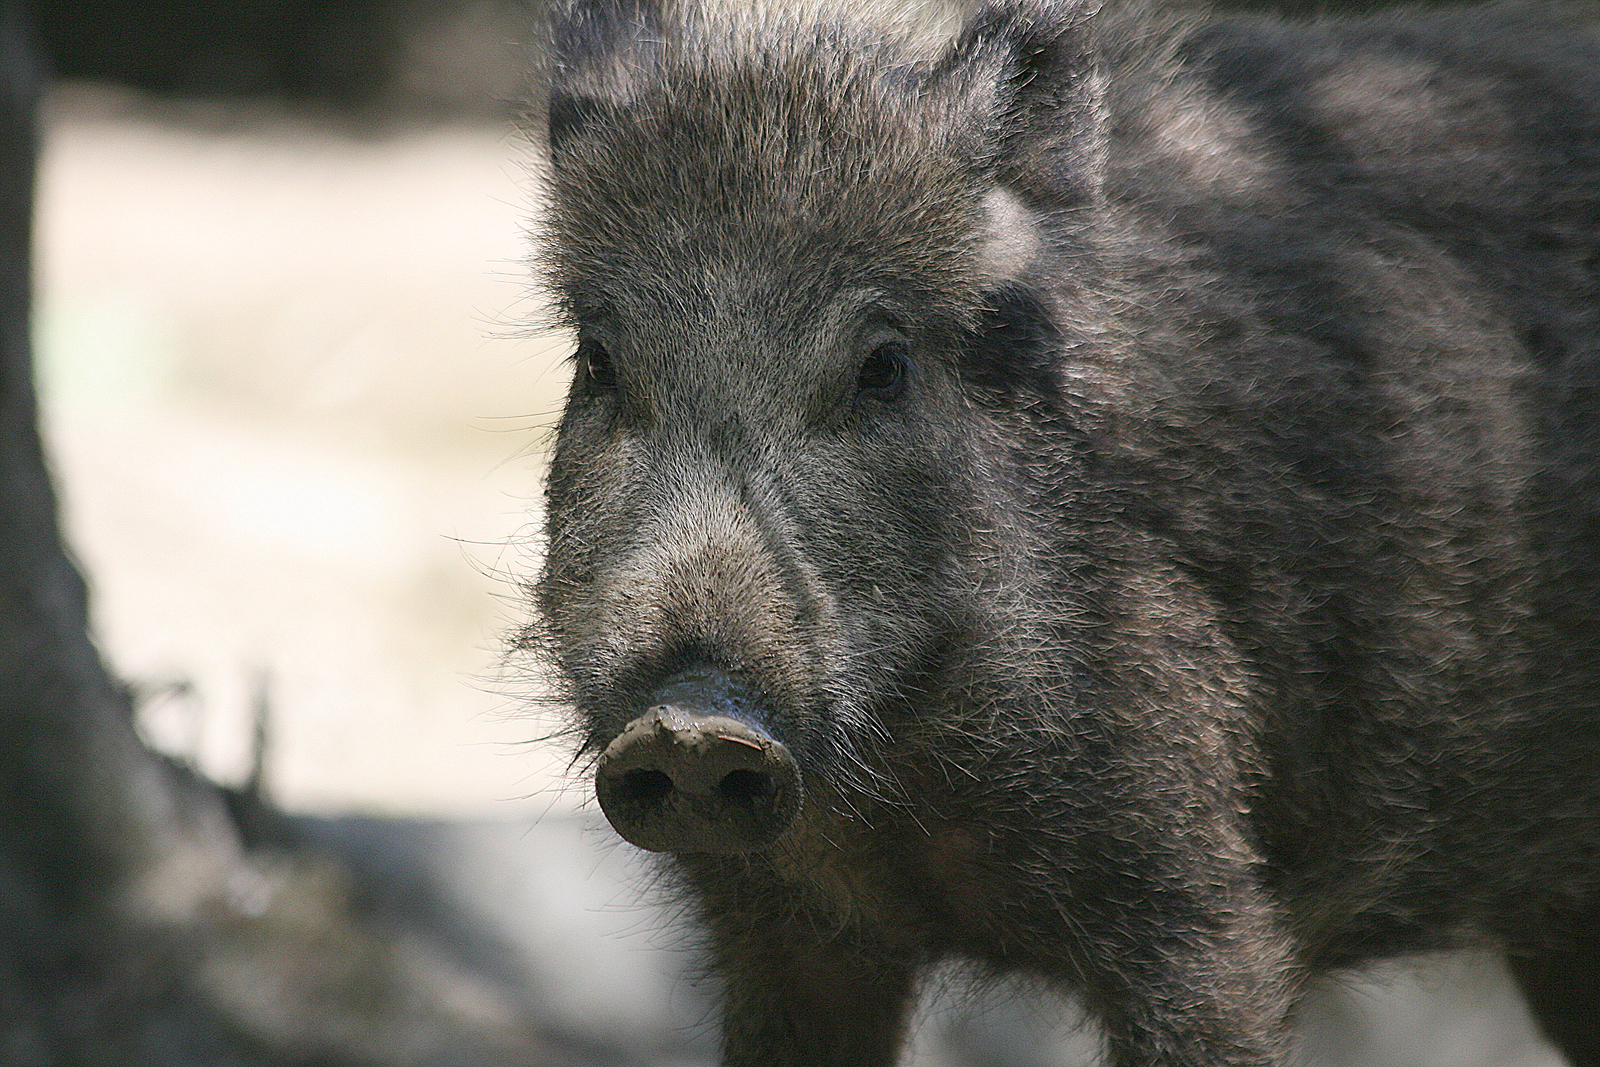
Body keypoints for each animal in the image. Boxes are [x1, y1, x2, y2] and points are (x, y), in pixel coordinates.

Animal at [525, 0, 1600, 1063]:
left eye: (884, 366)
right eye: (599, 363)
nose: (689, 725)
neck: (899, 805)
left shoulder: (1197, 889)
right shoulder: (779, 925)